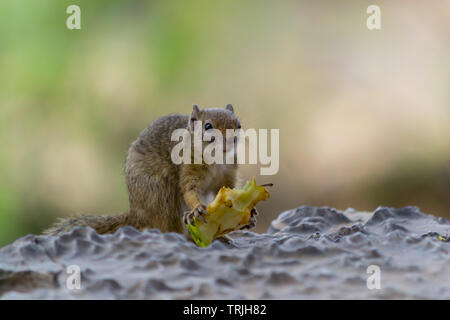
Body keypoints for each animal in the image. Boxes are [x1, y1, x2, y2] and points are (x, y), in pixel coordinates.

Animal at [44, 104, 260, 241]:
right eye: (208, 126)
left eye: (238, 125)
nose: (231, 140)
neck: (216, 159)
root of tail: (137, 213)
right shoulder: (188, 168)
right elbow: (189, 190)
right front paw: (198, 209)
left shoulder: (228, 175)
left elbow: (227, 191)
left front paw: (250, 213)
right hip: (161, 195)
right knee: (170, 228)